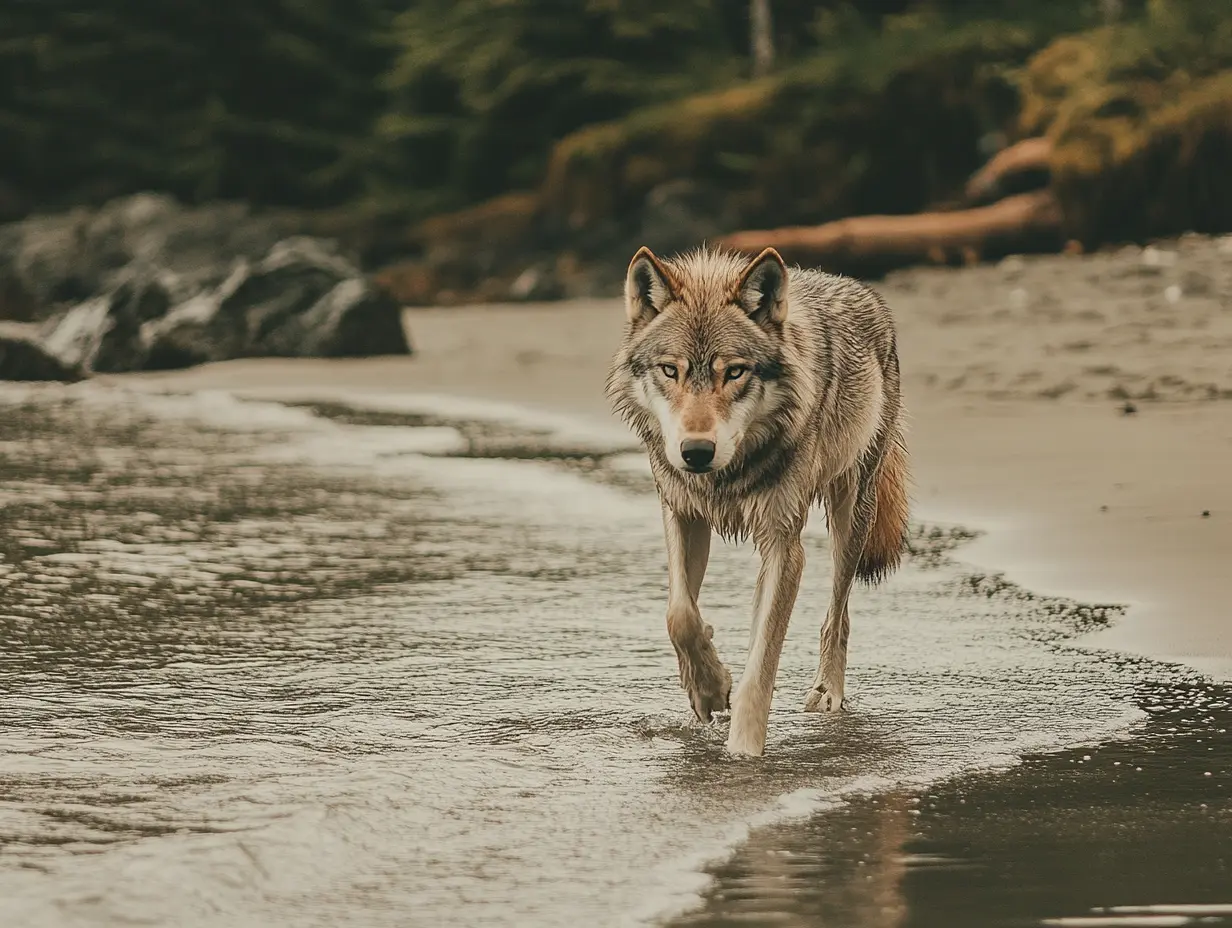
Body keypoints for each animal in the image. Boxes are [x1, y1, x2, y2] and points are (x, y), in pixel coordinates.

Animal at [605, 244, 910, 757]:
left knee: (838, 615)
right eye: (670, 370)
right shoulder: (683, 512)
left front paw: (743, 754)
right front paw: (708, 690)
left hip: (850, 517)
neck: (728, 474)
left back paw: (827, 691)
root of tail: (861, 289)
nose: (696, 451)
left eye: (735, 372)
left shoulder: (784, 544)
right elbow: (680, 615)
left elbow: (761, 668)